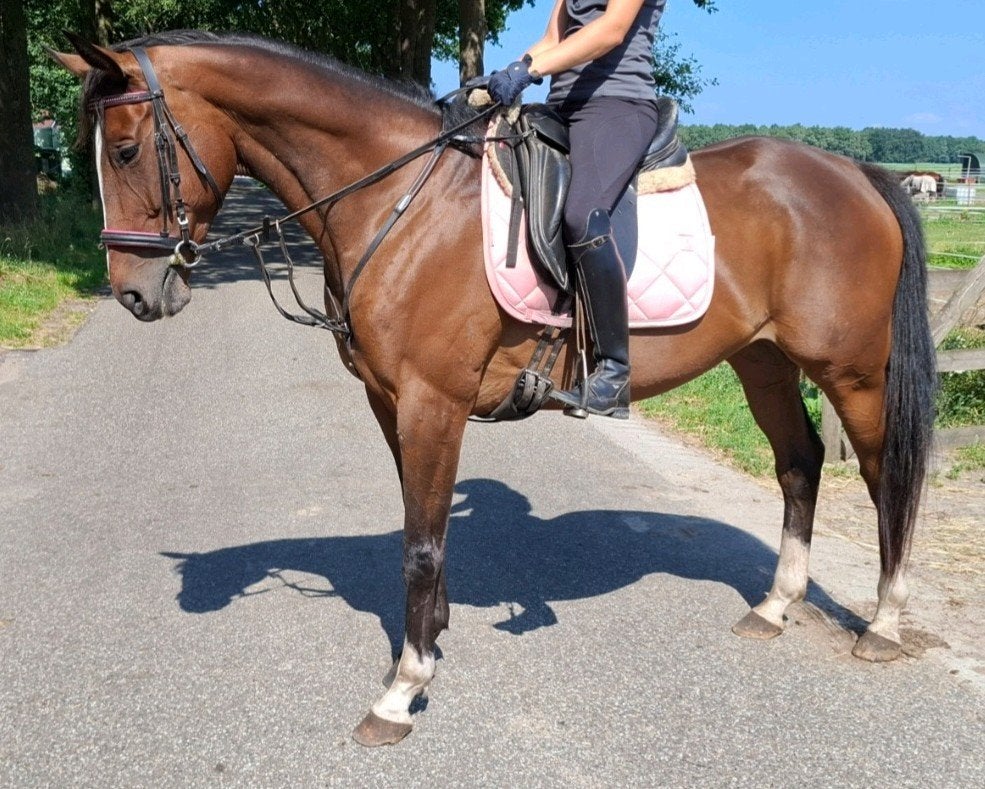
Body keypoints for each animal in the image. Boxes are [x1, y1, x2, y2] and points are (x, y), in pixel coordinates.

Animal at [52, 31, 937, 747]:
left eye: (124, 150)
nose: (134, 293)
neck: (399, 202)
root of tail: (853, 172)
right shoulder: (389, 401)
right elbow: (425, 523)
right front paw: (430, 640)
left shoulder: (431, 401)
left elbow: (420, 542)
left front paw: (401, 689)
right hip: (761, 358)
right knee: (798, 461)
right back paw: (774, 606)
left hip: (853, 369)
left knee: (884, 475)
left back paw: (884, 621)